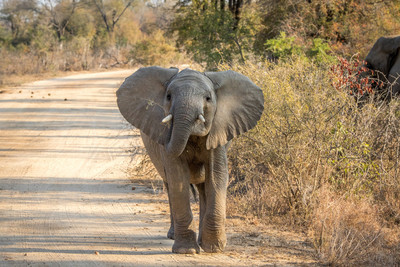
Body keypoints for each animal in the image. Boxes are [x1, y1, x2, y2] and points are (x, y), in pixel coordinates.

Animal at [116, 67, 266, 255]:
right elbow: (178, 179)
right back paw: (174, 236)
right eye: (168, 96)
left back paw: (202, 242)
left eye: (208, 98)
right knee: (170, 185)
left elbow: (216, 176)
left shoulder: (218, 132)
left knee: (203, 187)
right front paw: (186, 251)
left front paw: (214, 249)